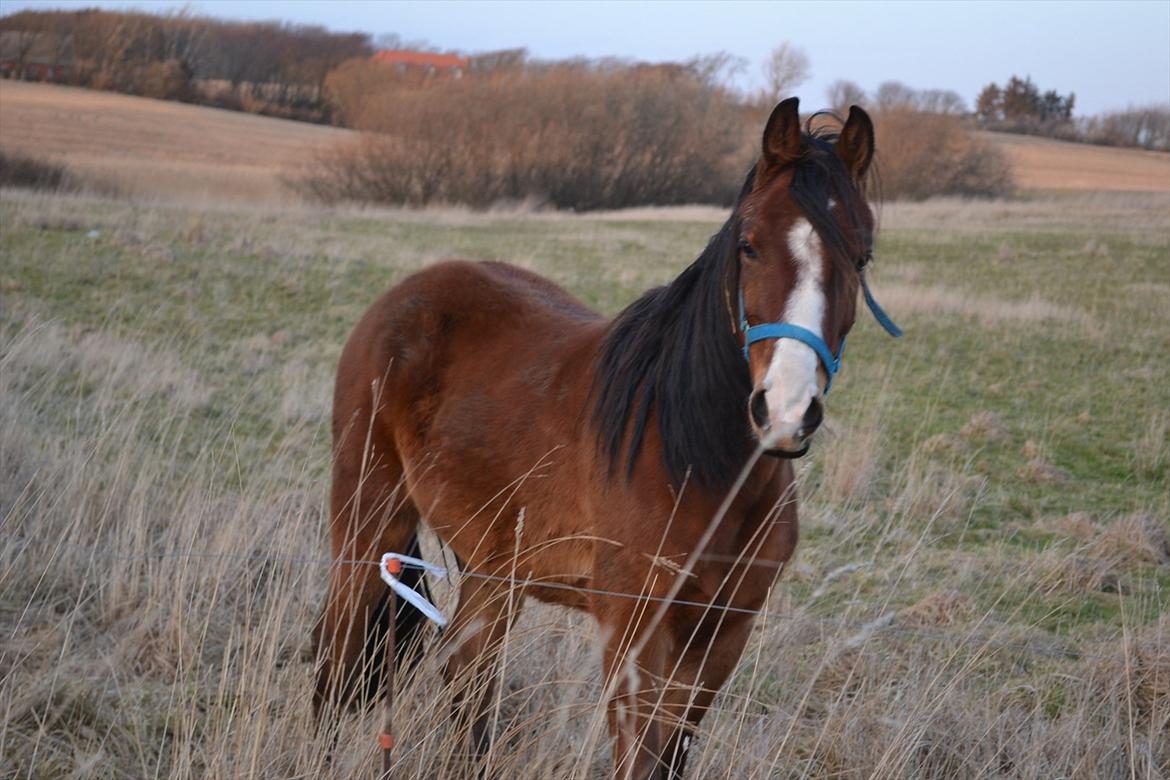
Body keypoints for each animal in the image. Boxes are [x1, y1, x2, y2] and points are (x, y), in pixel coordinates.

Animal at [315, 99, 879, 780]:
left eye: (861, 258)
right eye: (750, 246)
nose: (787, 409)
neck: (694, 460)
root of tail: (405, 295)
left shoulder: (721, 638)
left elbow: (671, 757)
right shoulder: (634, 632)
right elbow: (638, 760)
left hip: (493, 567)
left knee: (465, 673)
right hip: (369, 522)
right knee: (339, 660)